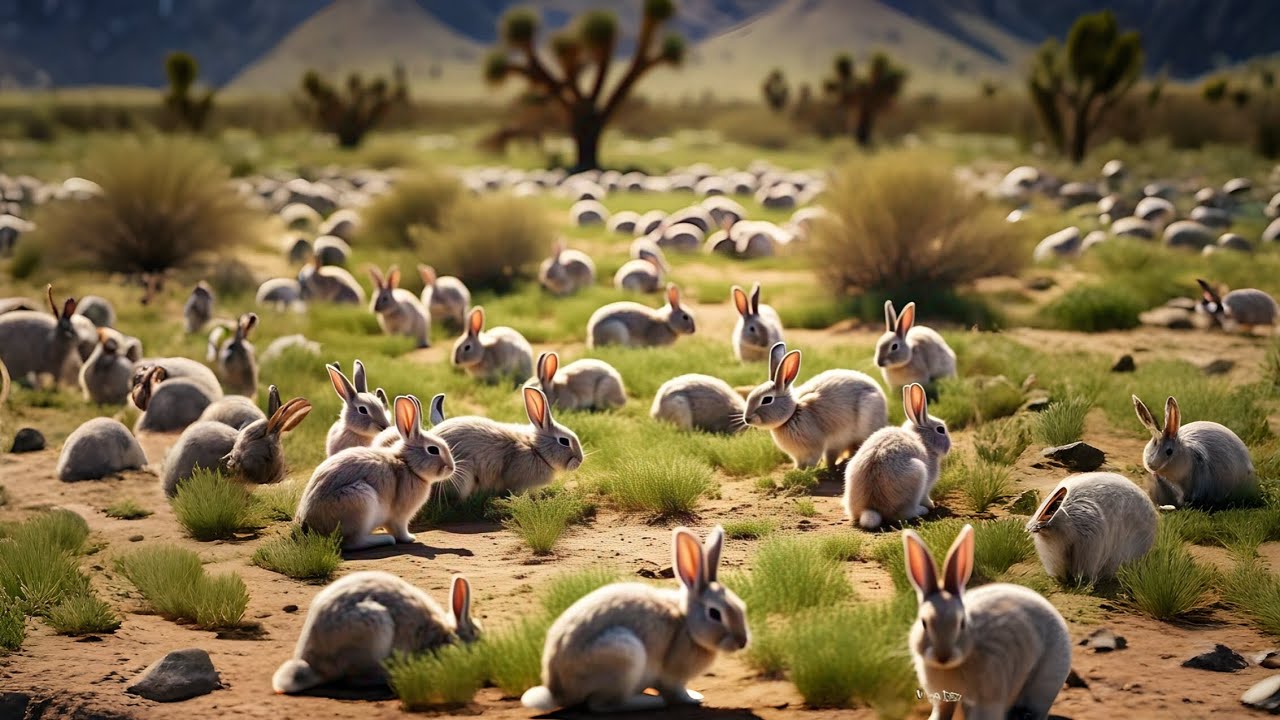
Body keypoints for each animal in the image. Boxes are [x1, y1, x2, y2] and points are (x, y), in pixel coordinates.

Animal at [296, 394, 455, 550]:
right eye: (433, 450)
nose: (451, 467)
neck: (408, 464)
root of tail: (307, 525)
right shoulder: (400, 516)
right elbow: (400, 530)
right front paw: (410, 538)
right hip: (360, 501)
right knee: (352, 542)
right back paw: (384, 539)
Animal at [521, 525, 749, 713]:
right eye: (715, 613)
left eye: (740, 605)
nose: (742, 642)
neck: (686, 623)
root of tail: (558, 692)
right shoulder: (672, 678)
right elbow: (678, 693)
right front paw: (694, 698)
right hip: (623, 656)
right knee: (601, 705)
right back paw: (649, 702)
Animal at [744, 343, 888, 469]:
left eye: (767, 400)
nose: (747, 419)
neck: (792, 414)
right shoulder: (798, 455)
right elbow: (799, 463)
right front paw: (796, 470)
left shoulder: (815, 448)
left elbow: (813, 460)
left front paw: (806, 471)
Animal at [843, 383, 951, 528]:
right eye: (940, 429)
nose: (948, 447)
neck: (923, 440)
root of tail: (871, 508)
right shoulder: (927, 486)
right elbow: (926, 497)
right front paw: (931, 504)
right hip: (918, 474)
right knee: (905, 513)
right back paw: (922, 510)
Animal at [904, 524, 1072, 720]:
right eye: (924, 622)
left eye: (962, 623)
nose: (943, 656)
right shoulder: (943, 700)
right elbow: (941, 713)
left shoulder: (987, 699)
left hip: (1043, 688)